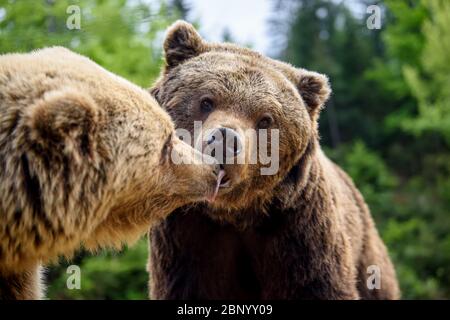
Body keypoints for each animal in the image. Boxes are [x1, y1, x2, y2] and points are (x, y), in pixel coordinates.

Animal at [148, 21, 400, 298]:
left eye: (265, 119)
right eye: (206, 101)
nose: (225, 140)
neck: (235, 214)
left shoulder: (299, 231)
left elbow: (319, 285)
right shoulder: (187, 239)